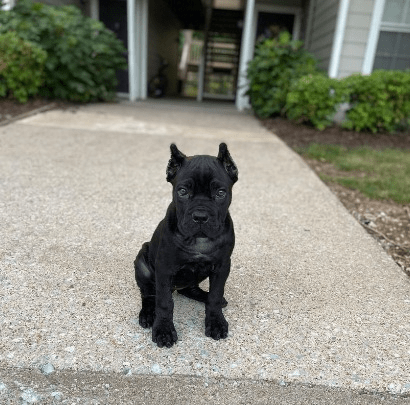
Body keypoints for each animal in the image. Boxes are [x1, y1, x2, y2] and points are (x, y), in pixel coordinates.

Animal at [135, 143, 237, 348]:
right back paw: (148, 314)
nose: (200, 216)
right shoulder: (165, 268)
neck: (198, 239)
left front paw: (216, 321)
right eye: (182, 191)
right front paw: (164, 330)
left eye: (220, 193)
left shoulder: (222, 266)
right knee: (148, 295)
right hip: (142, 264)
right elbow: (164, 302)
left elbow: (215, 294)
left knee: (191, 290)